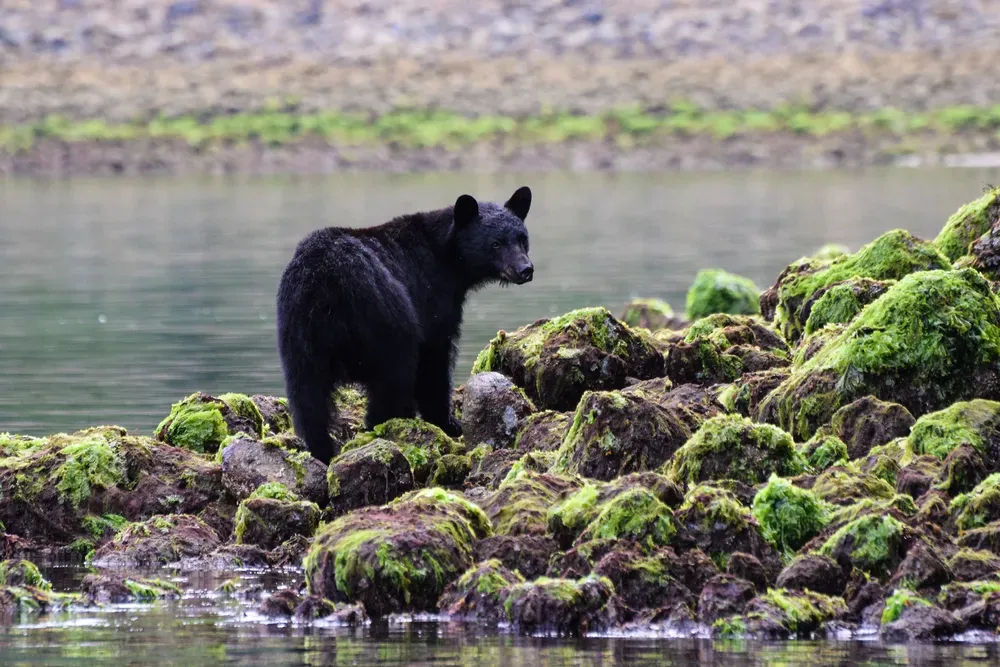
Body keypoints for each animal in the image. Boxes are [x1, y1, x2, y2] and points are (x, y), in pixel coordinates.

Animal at [276, 187, 535, 464]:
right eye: (495, 243)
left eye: (522, 239)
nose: (525, 269)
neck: (446, 257)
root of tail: (327, 283)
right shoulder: (433, 297)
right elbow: (435, 359)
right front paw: (448, 422)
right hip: (384, 315)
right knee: (394, 374)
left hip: (299, 333)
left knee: (307, 397)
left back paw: (322, 450)